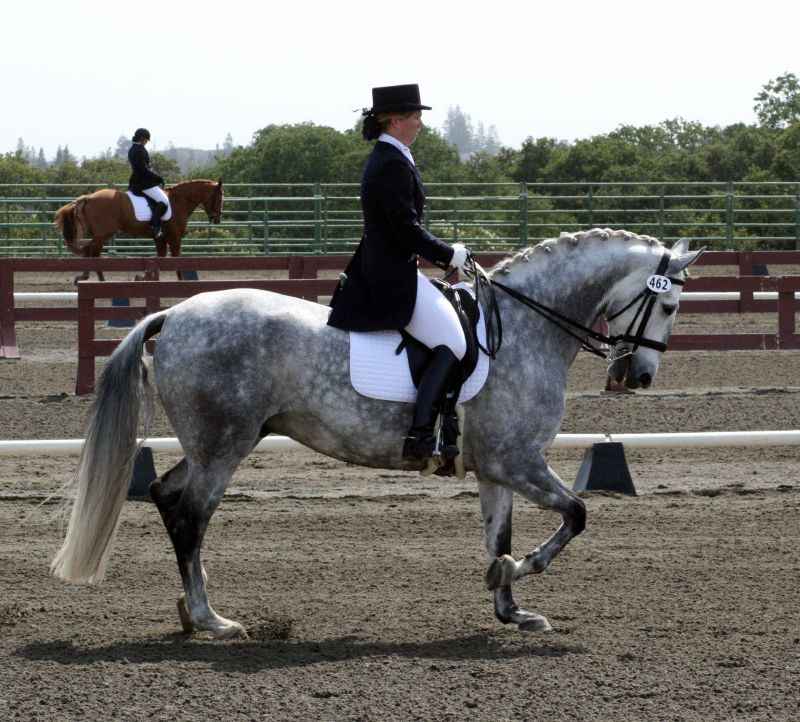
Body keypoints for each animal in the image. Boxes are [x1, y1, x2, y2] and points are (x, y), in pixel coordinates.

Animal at [51, 229, 700, 636]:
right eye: (668, 307)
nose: (637, 376)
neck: (523, 327)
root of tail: (175, 313)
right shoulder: (520, 461)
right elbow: (577, 514)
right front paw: (518, 576)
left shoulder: (496, 468)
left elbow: (500, 537)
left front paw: (511, 608)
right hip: (224, 446)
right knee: (192, 514)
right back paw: (212, 618)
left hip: (219, 441)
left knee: (165, 494)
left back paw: (190, 612)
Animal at [54, 178, 222, 282]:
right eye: (219, 198)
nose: (217, 219)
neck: (179, 201)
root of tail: (89, 197)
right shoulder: (174, 236)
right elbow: (175, 261)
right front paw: (181, 282)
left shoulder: (160, 237)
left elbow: (160, 259)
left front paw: (143, 278)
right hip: (103, 233)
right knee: (90, 251)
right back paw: (89, 277)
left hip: (101, 234)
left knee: (92, 253)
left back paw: (98, 279)